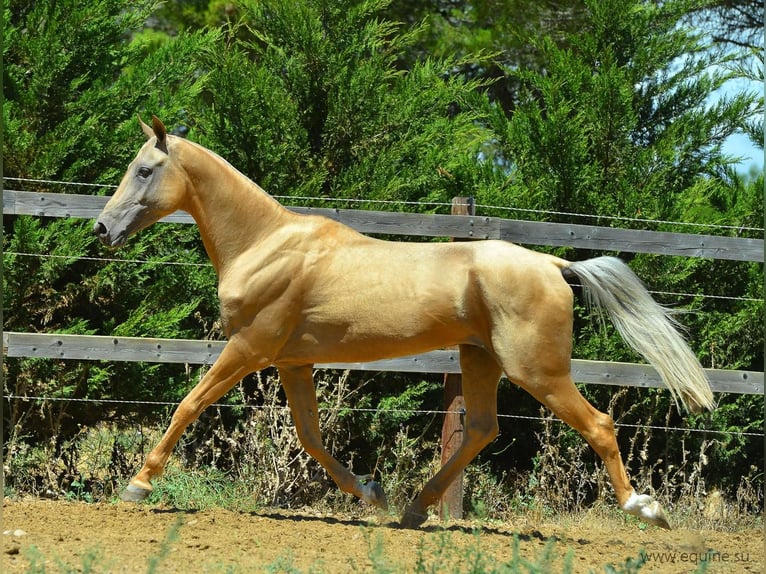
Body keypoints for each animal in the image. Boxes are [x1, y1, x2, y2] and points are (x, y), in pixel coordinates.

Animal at [94, 116, 712, 532]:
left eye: (144, 170)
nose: (102, 229)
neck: (265, 245)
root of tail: (554, 265)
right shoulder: (293, 360)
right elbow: (310, 435)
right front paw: (372, 493)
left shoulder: (249, 348)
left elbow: (188, 405)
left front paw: (137, 485)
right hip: (480, 359)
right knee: (481, 428)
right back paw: (413, 509)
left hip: (536, 369)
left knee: (599, 424)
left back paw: (645, 508)